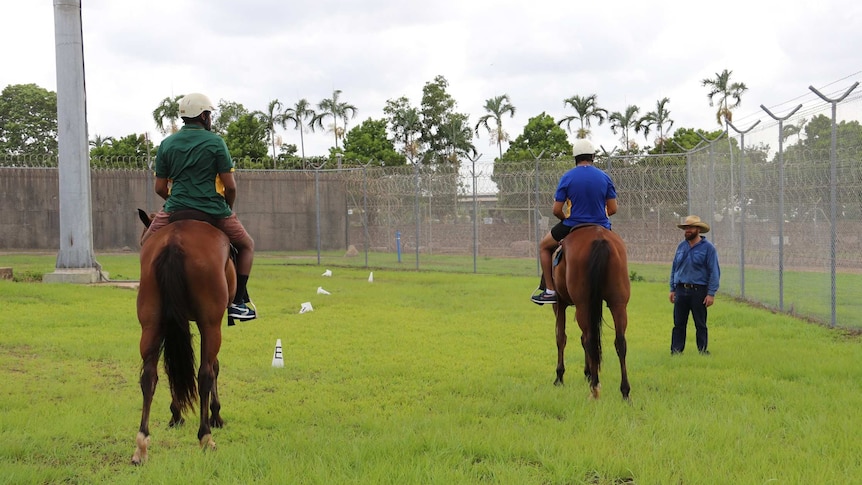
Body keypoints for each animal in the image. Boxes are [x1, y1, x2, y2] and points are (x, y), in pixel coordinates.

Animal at [131, 209, 236, 466]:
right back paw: (206, 436)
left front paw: (176, 414)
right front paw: (216, 414)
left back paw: (141, 444)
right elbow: (213, 367)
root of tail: (174, 242)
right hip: (210, 323)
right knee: (205, 373)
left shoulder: (175, 321)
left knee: (148, 376)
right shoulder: (208, 323)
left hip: (151, 320)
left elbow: (174, 367)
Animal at [556, 223, 632, 398]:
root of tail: (599, 238)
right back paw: (624, 391)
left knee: (590, 339)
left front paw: (559, 377)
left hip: (583, 304)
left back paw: (595, 388)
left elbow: (561, 337)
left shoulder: (559, 303)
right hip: (618, 303)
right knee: (620, 342)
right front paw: (588, 372)